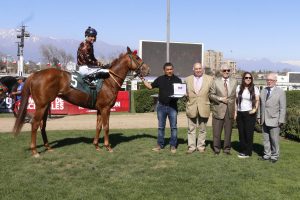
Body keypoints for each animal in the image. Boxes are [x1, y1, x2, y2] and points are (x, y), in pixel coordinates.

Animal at [13, 46, 149, 156]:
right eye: (137, 57)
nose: (148, 69)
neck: (108, 80)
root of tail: (34, 75)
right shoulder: (106, 108)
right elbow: (106, 127)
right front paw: (108, 146)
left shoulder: (100, 109)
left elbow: (98, 126)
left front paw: (96, 145)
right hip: (41, 105)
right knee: (35, 124)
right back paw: (35, 151)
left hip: (46, 105)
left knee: (43, 125)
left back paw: (48, 147)